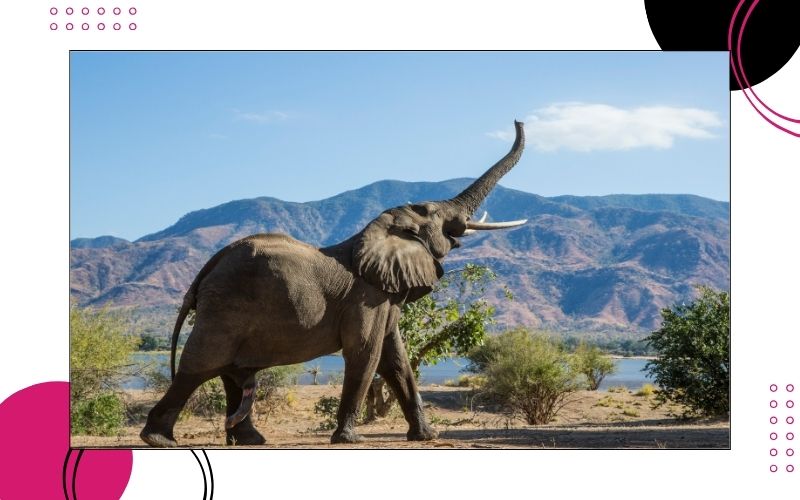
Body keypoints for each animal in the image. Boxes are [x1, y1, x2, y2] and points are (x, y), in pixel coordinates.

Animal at [140, 121, 527, 447]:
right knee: (200, 366)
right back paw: (158, 440)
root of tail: (207, 269)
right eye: (433, 213)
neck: (377, 231)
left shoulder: (384, 296)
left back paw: (251, 440)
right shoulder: (366, 298)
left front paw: (425, 437)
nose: (518, 120)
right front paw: (349, 439)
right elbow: (366, 353)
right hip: (225, 307)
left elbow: (396, 360)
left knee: (231, 373)